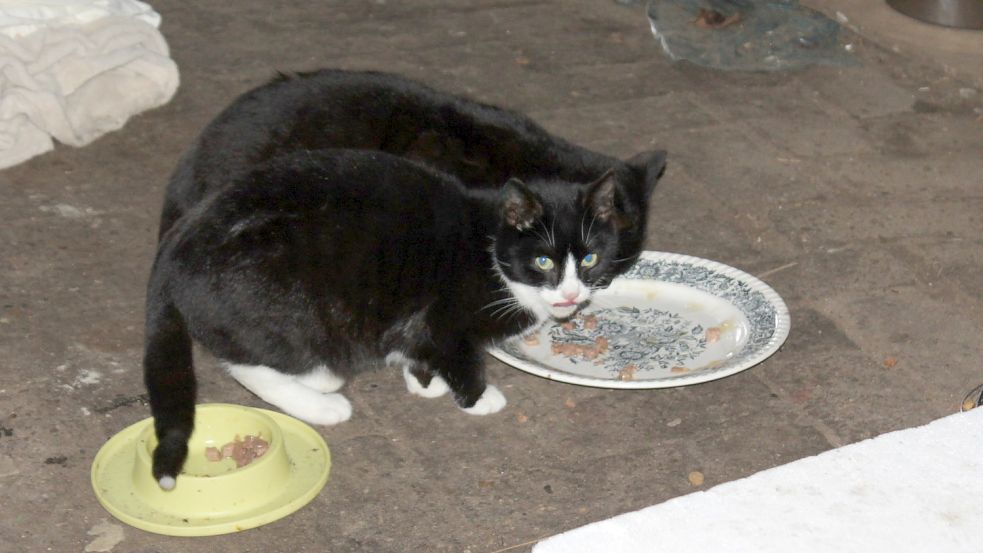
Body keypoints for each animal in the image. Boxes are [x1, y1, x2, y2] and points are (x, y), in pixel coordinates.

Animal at [148, 147, 668, 488]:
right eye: (543, 261)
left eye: (590, 259)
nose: (571, 294)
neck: (490, 251)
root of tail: (174, 248)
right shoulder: (445, 315)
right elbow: (457, 354)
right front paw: (477, 398)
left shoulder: (415, 320)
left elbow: (416, 345)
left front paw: (423, 381)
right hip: (289, 310)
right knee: (248, 361)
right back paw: (320, 399)